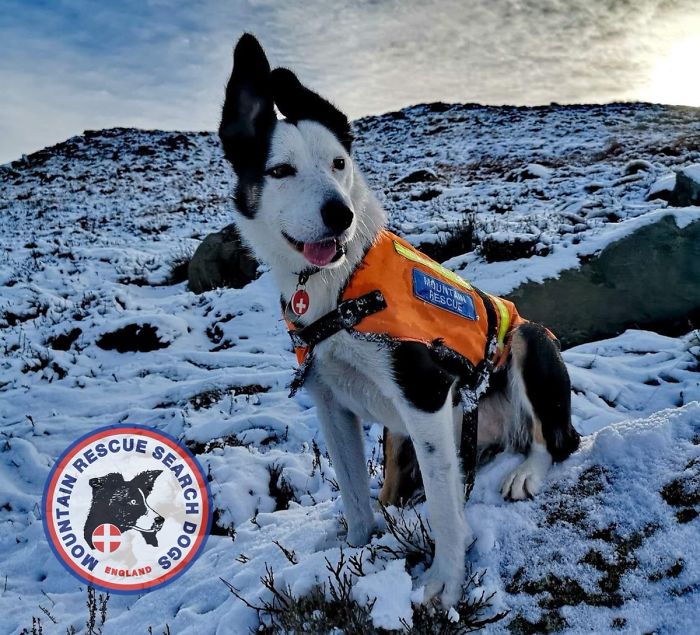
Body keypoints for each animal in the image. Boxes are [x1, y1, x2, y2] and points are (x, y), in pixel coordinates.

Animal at [217, 33, 580, 608]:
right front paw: (358, 546)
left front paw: (445, 581)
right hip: (404, 431)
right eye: (280, 171)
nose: (339, 214)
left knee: (555, 439)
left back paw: (525, 472)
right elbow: (354, 496)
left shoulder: (425, 395)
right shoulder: (331, 404)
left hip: (527, 339)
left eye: (339, 163)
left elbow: (446, 510)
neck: (340, 287)